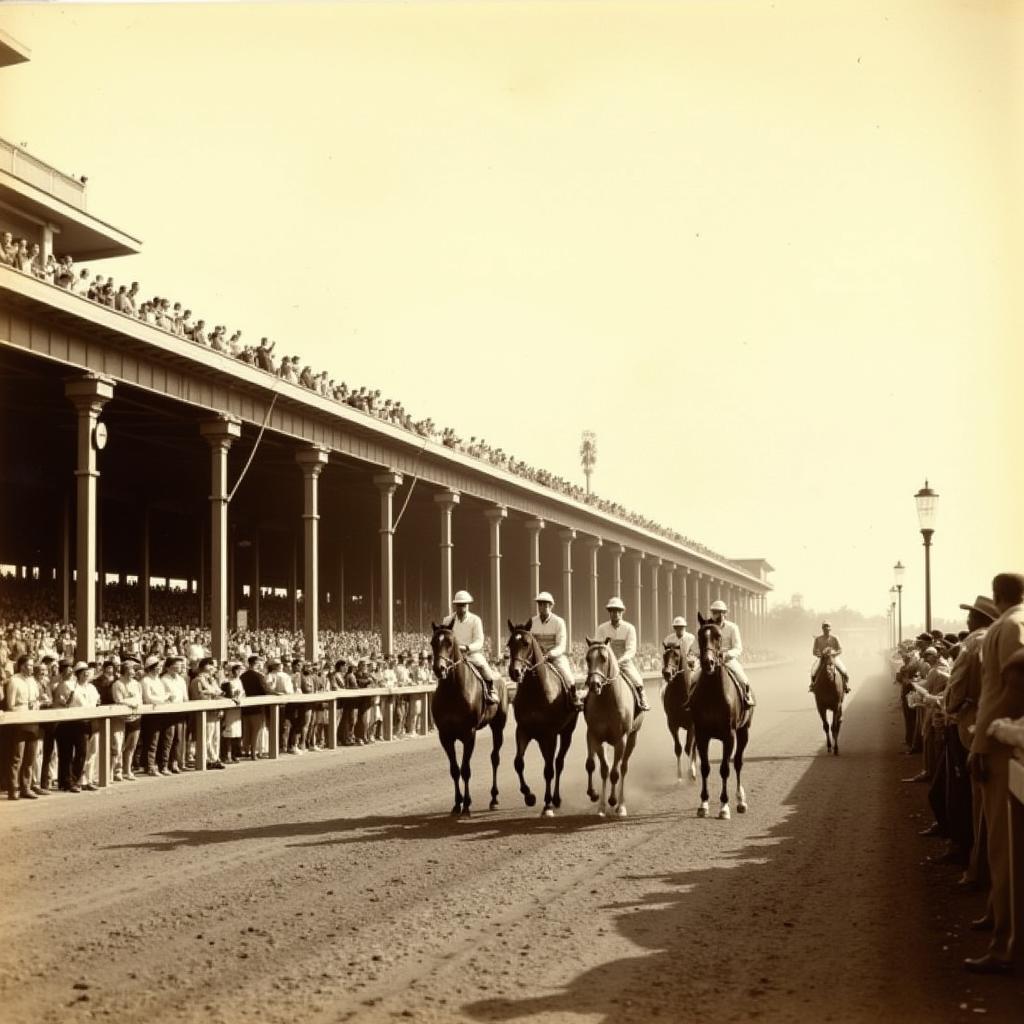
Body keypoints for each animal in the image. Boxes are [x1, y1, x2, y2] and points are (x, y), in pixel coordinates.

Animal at [428, 622, 507, 815]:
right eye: (433, 642)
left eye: (449, 642)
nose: (439, 668)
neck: (453, 691)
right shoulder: (445, 736)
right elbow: (455, 770)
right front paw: (457, 804)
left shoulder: (468, 734)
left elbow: (465, 769)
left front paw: (467, 805)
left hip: (498, 726)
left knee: (495, 758)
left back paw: (494, 799)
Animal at [505, 618, 581, 819]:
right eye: (509, 644)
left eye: (526, 643)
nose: (515, 672)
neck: (536, 691)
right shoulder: (523, 730)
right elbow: (518, 762)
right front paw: (529, 796)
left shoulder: (550, 734)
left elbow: (549, 770)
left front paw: (547, 805)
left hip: (567, 733)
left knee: (558, 763)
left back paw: (556, 799)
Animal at [581, 638, 643, 815]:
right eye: (587, 658)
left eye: (603, 658)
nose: (594, 684)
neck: (607, 700)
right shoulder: (595, 736)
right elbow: (602, 768)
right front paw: (599, 802)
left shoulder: (620, 739)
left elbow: (615, 772)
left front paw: (614, 801)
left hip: (632, 737)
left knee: (623, 767)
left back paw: (621, 804)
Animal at [659, 643, 700, 778]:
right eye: (664, 655)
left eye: (676, 655)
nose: (667, 673)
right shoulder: (672, 723)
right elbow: (678, 748)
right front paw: (679, 776)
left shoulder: (692, 724)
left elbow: (688, 747)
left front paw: (691, 771)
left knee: (694, 745)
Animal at [688, 610, 753, 819]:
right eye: (700, 635)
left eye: (718, 636)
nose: (708, 662)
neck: (713, 694)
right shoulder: (702, 734)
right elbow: (705, 768)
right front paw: (703, 804)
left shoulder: (729, 735)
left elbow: (725, 768)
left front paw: (724, 806)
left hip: (744, 732)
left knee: (738, 763)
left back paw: (740, 801)